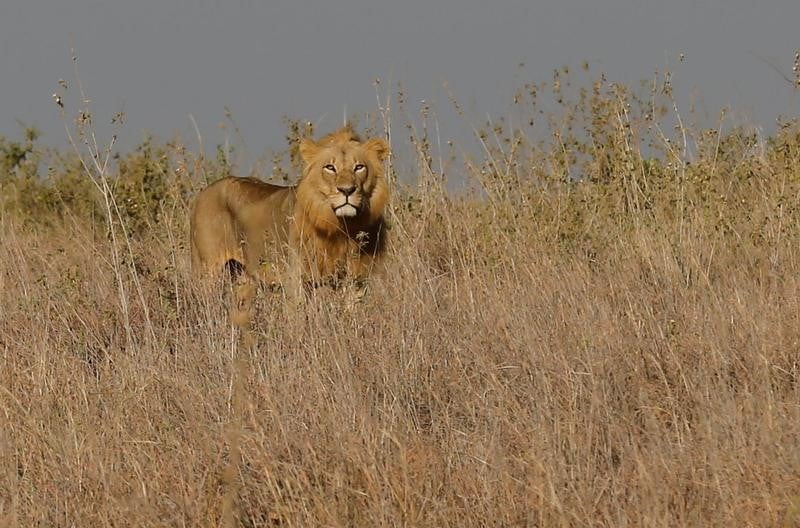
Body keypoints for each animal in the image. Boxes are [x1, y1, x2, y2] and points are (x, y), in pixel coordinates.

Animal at [190, 126, 390, 326]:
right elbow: (298, 318)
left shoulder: (357, 279)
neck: (342, 226)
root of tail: (203, 193)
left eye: (359, 167)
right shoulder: (296, 279)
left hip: (242, 277)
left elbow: (352, 313)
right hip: (208, 271)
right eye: (330, 167)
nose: (347, 190)